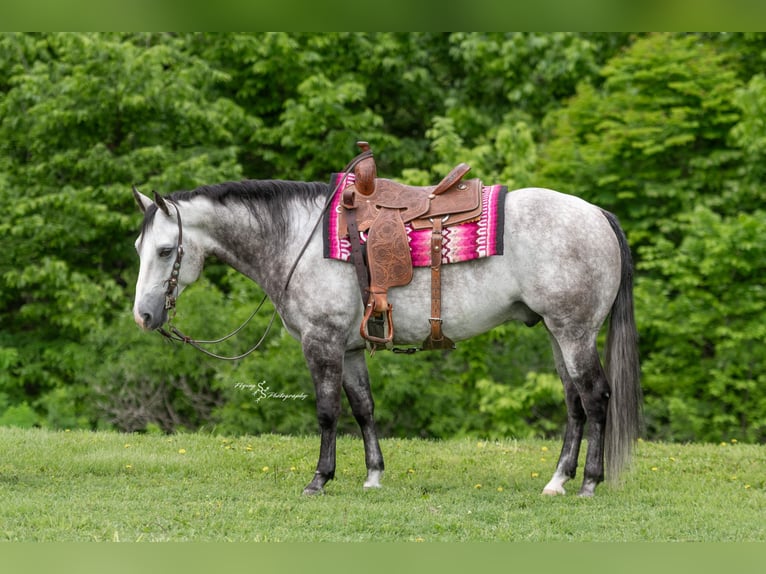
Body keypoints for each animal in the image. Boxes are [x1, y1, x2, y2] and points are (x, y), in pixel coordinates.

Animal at [131, 175, 641, 498]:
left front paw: (319, 479)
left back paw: (589, 482)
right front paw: (373, 476)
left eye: (166, 250)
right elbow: (363, 408)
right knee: (574, 403)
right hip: (557, 333)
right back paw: (558, 481)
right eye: (140, 247)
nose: (143, 315)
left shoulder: (321, 343)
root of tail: (597, 213)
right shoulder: (352, 348)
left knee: (595, 397)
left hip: (574, 332)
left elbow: (327, 412)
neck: (299, 240)